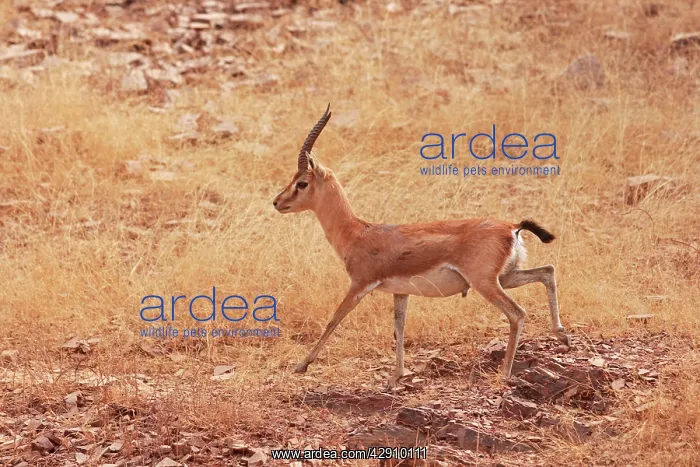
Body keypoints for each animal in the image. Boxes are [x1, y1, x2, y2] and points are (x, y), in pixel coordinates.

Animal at [273, 105, 571, 388]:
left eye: (302, 183)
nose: (277, 202)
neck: (358, 233)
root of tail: (512, 227)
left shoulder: (359, 285)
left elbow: (333, 320)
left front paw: (301, 366)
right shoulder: (400, 292)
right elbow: (399, 328)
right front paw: (396, 376)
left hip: (485, 283)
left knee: (517, 313)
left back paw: (505, 373)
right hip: (505, 277)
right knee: (548, 271)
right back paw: (562, 335)